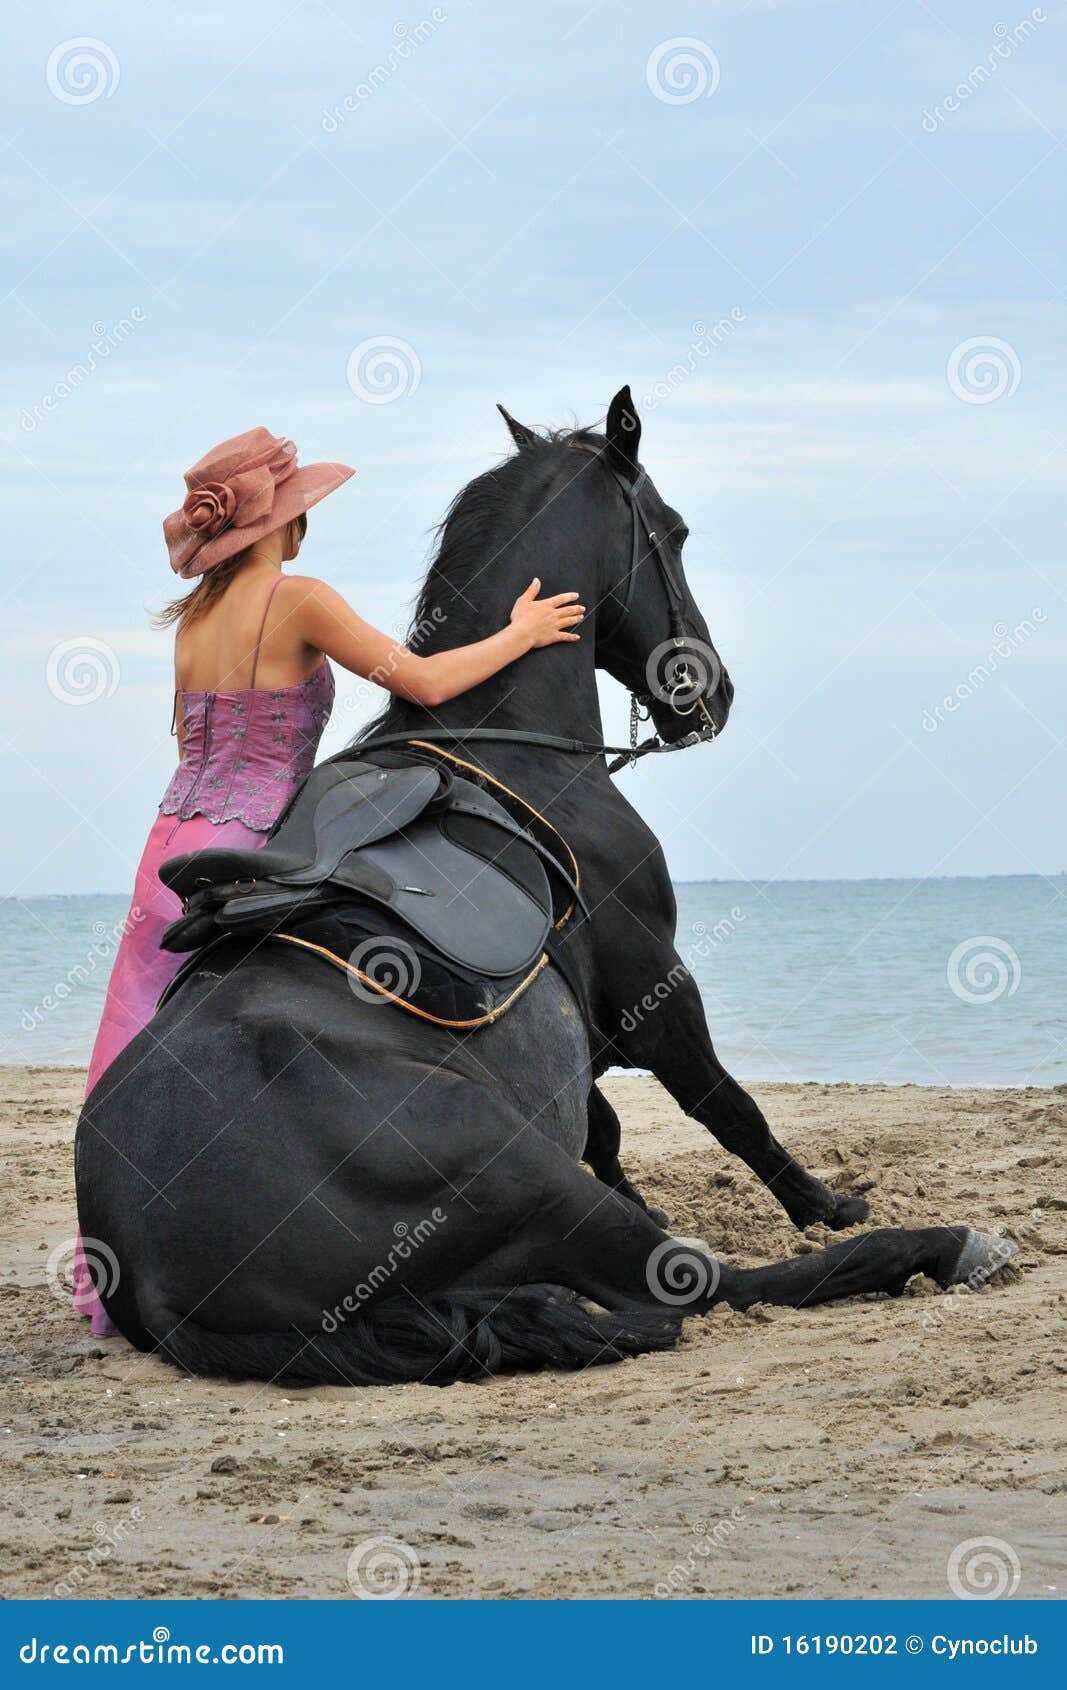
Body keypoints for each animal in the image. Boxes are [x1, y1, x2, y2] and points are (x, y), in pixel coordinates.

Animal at [75, 387, 1011, 1386]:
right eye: (675, 531)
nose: (710, 694)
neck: (513, 741)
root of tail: (159, 1276)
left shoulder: (581, 1027)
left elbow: (604, 1127)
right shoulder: (652, 982)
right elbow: (729, 1108)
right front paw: (827, 1205)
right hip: (522, 1174)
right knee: (701, 1285)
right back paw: (943, 1245)